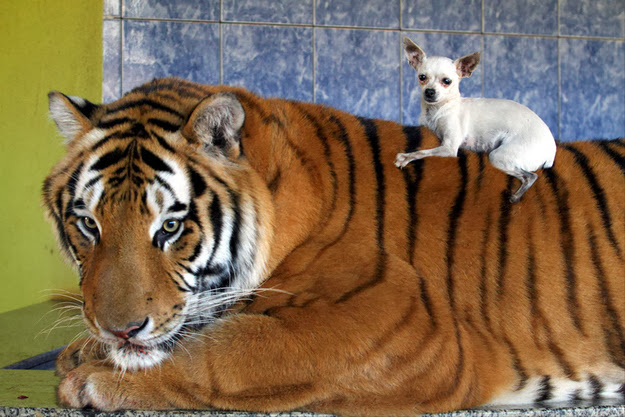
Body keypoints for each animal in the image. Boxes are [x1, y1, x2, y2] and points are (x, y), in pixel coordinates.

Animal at [44, 75, 624, 412]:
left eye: (169, 227)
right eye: (89, 225)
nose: (118, 329)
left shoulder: (399, 321)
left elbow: (229, 350)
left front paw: (94, 379)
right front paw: (86, 350)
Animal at [394, 37, 556, 203]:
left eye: (447, 81)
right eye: (422, 77)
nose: (429, 92)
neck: (437, 111)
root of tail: (551, 151)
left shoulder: (449, 148)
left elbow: (423, 152)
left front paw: (405, 157)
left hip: (498, 157)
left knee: (531, 176)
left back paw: (516, 196)